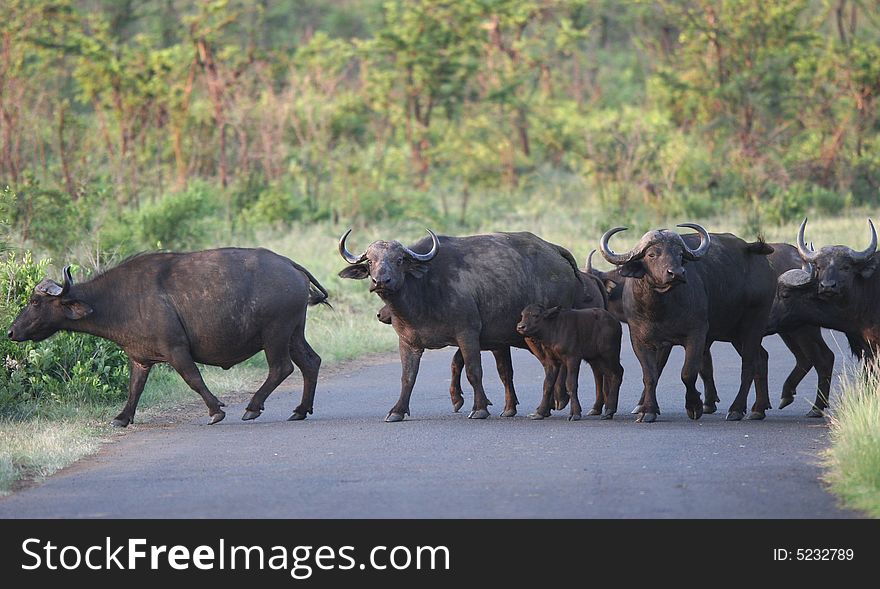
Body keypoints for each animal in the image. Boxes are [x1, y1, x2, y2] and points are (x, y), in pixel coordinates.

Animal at [6, 249, 330, 428]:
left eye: (35, 302)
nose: (10, 331)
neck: (117, 300)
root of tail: (289, 264)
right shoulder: (139, 358)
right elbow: (134, 389)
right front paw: (122, 417)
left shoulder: (176, 350)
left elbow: (193, 379)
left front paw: (216, 410)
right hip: (293, 332)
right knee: (310, 362)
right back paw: (300, 410)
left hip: (275, 333)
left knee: (281, 368)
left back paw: (253, 407)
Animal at [340, 227, 588, 420]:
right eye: (371, 261)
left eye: (399, 260)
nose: (381, 281)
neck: (422, 292)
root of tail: (553, 249)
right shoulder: (408, 342)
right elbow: (407, 377)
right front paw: (397, 411)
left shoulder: (467, 334)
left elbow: (473, 371)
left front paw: (479, 408)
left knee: (555, 365)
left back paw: (553, 403)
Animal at [600, 223, 776, 420]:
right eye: (652, 254)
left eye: (679, 254)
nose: (676, 273)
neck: (659, 308)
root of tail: (754, 251)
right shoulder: (640, 340)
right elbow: (651, 375)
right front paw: (648, 410)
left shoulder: (697, 334)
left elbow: (688, 373)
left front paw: (694, 405)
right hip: (735, 333)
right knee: (761, 358)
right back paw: (758, 408)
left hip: (754, 324)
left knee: (749, 365)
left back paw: (737, 409)